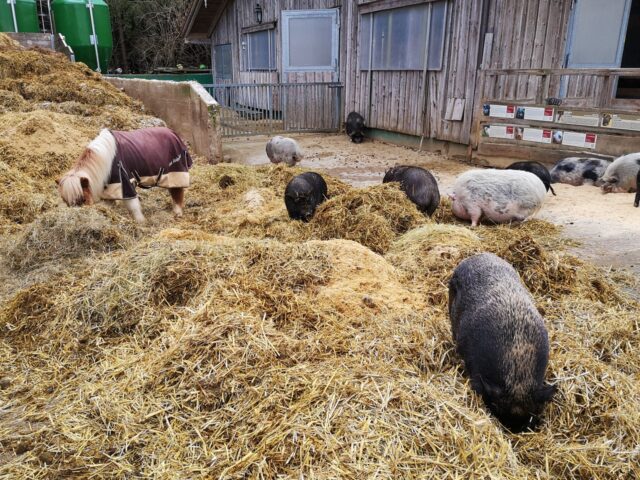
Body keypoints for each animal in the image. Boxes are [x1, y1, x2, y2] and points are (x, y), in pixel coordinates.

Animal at [58, 126, 192, 222]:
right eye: (66, 201)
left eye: (83, 199)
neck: (106, 159)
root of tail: (173, 133)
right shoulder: (111, 186)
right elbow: (110, 204)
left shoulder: (126, 183)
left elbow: (133, 206)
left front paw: (141, 222)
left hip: (177, 171)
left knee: (177, 193)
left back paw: (177, 214)